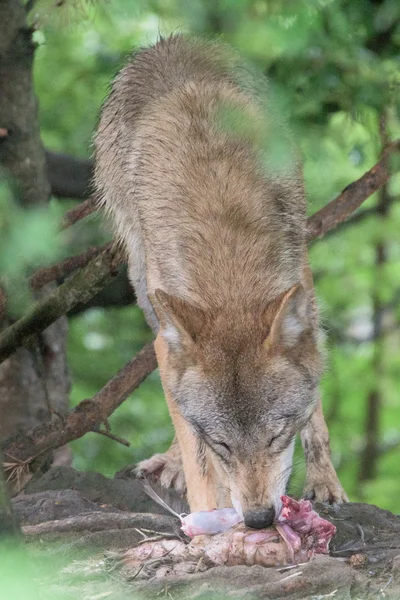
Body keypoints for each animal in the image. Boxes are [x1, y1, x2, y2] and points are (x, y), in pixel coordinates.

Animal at [94, 34, 346, 528]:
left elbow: (315, 413)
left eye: (276, 437)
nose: (260, 520)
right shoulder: (169, 339)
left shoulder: (303, 288)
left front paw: (326, 483)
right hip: (147, 292)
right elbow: (198, 453)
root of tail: (169, 39)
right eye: (225, 444)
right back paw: (172, 463)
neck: (227, 267)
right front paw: (206, 515)